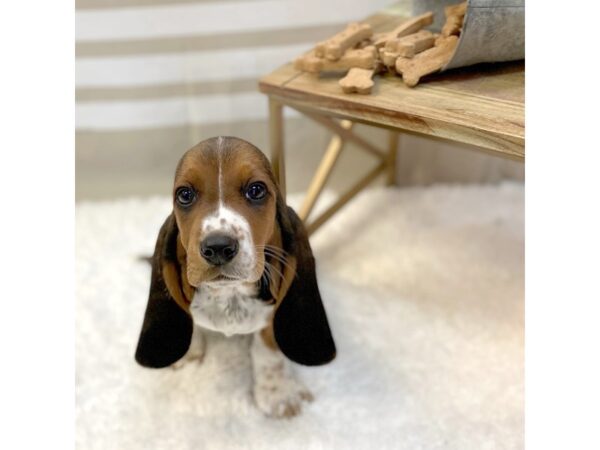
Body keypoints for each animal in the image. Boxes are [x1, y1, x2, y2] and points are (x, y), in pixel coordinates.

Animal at [133, 135, 336, 416]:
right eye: (184, 195)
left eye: (256, 190)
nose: (218, 247)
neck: (230, 295)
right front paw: (190, 352)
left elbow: (268, 348)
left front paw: (278, 393)